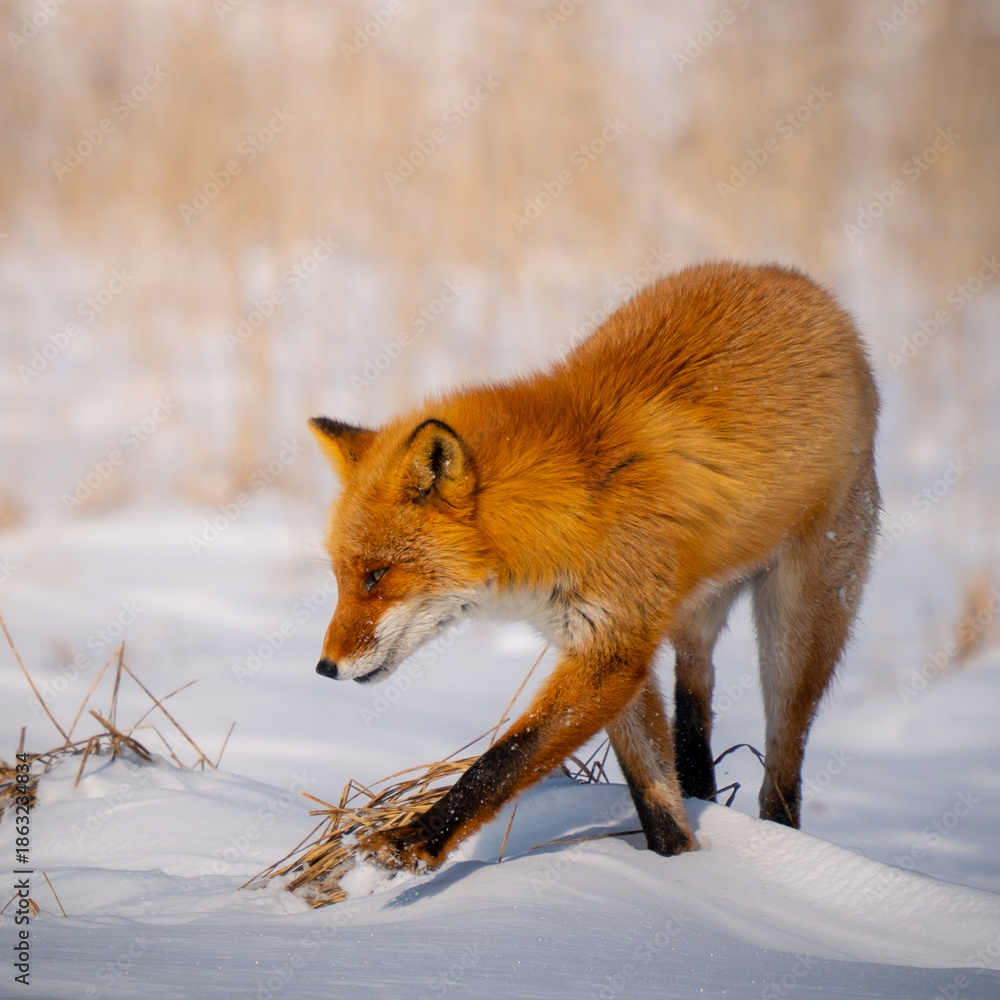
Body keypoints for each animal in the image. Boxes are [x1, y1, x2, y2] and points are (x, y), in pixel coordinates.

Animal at [308, 261, 880, 871]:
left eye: (376, 576)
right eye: (339, 577)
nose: (324, 668)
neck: (569, 504)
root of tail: (797, 281)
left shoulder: (612, 648)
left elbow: (506, 758)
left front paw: (412, 843)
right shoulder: (603, 640)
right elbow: (653, 789)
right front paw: (677, 867)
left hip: (797, 629)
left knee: (782, 768)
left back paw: (783, 834)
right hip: (689, 614)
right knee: (695, 695)